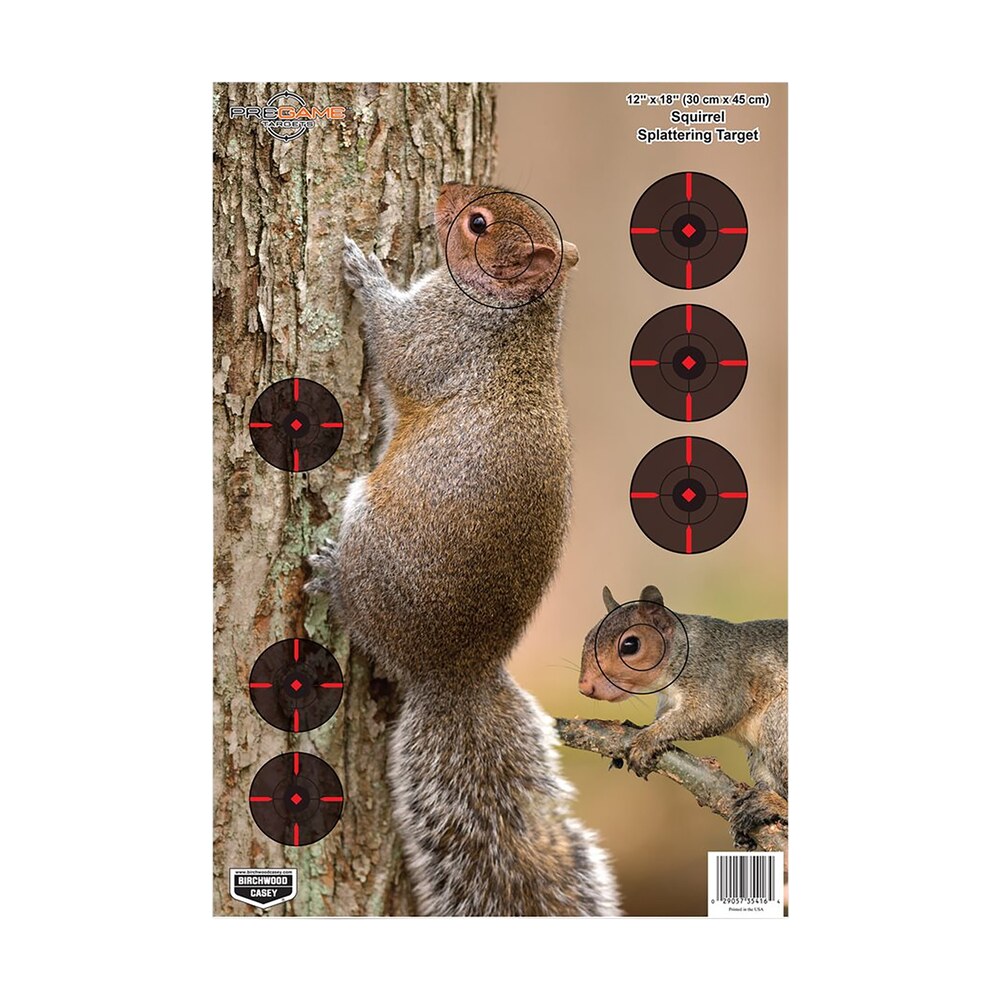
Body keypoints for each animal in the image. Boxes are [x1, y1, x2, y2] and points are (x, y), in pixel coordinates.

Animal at [308, 183, 620, 916]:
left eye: (479, 223)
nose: (445, 194)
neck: (519, 318)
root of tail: (455, 672)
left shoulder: (440, 337)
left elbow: (396, 346)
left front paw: (365, 271)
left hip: (374, 540)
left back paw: (329, 575)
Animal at [579, 584, 787, 837]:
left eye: (630, 645)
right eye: (588, 637)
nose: (585, 687)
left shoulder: (718, 676)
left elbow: (712, 713)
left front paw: (647, 740)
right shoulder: (668, 701)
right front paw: (637, 728)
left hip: (778, 724)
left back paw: (773, 805)